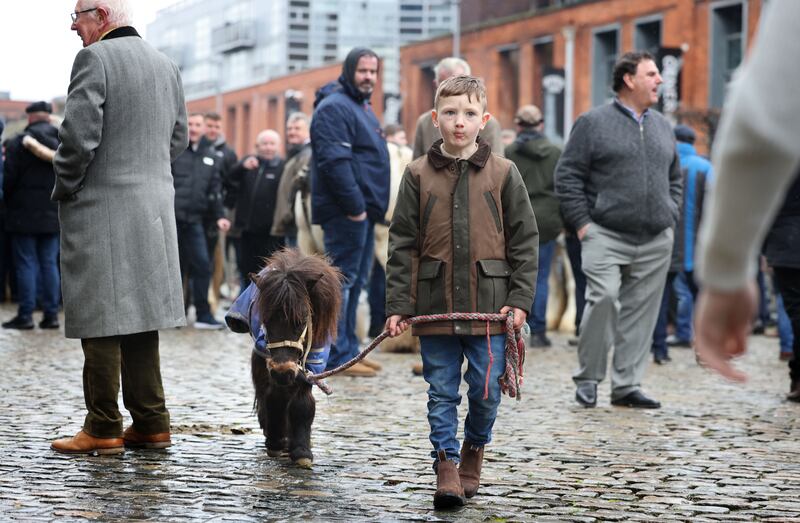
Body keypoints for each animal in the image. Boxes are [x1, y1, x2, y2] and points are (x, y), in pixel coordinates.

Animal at [250, 248, 338, 468]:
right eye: (266, 320)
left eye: (301, 320)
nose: (283, 372)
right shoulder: (268, 359)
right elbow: (274, 396)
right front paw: (275, 441)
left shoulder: (311, 363)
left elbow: (302, 404)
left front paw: (301, 451)